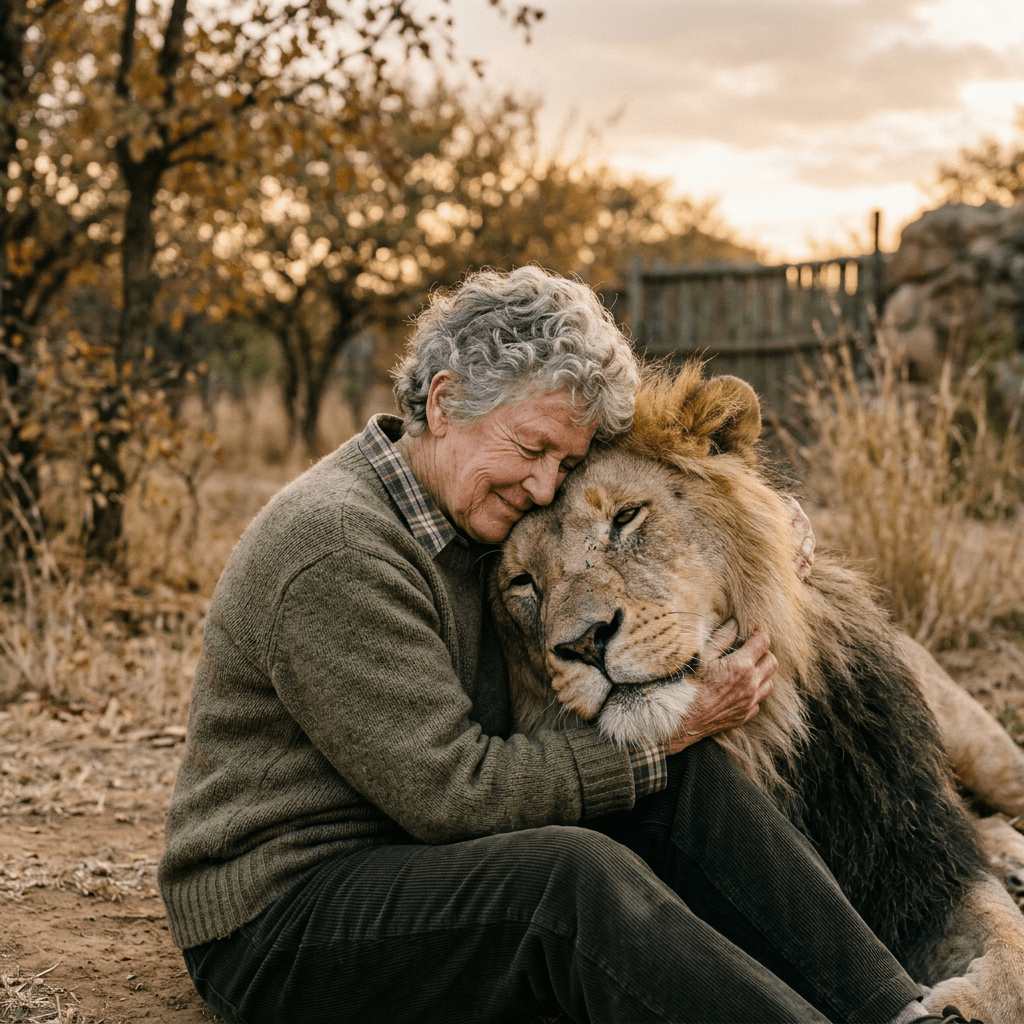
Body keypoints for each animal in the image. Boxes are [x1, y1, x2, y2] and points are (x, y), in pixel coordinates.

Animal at [489, 362, 1024, 1022]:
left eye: (625, 517)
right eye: (522, 582)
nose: (585, 643)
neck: (757, 741)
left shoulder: (916, 856)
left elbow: (1008, 940)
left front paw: (969, 1002)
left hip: (985, 749)